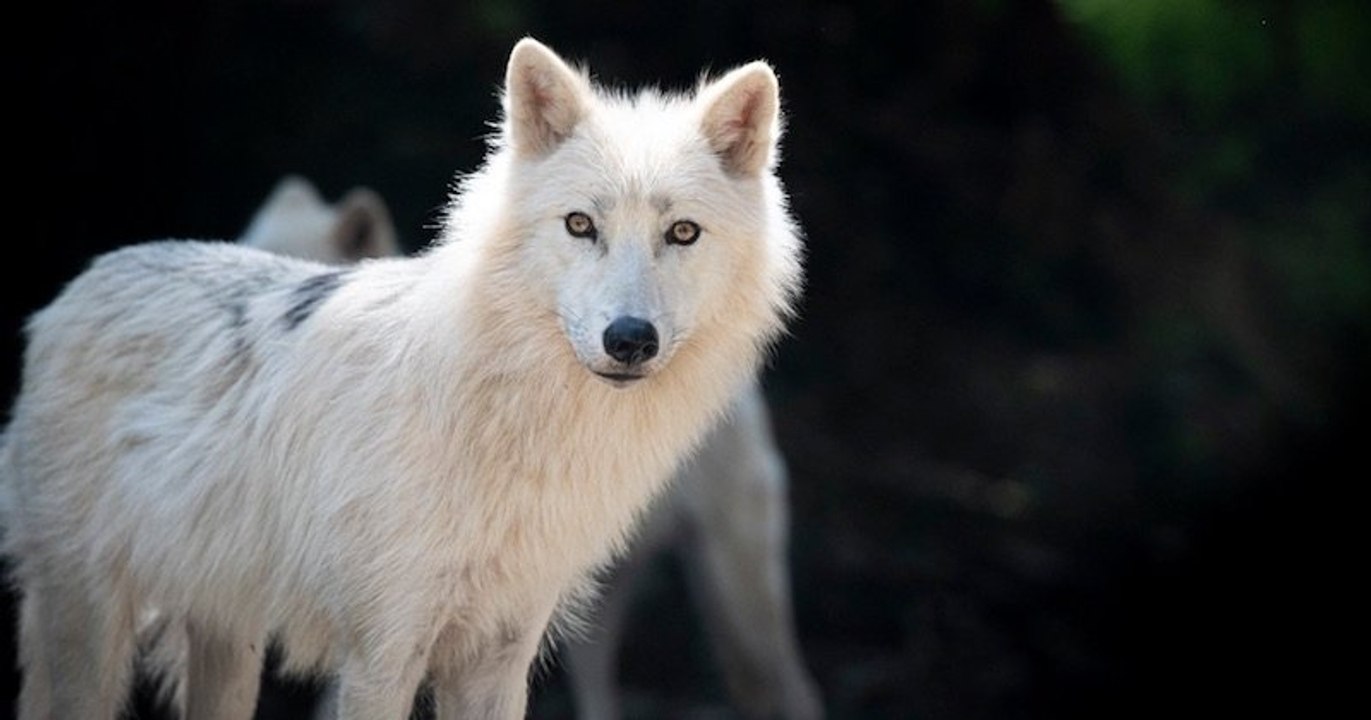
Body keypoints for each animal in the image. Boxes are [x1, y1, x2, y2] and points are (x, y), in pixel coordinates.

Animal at [0, 37, 802, 720]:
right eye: (580, 225)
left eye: (683, 233)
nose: (629, 339)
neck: (512, 423)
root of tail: (84, 282)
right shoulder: (381, 653)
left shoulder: (499, 657)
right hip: (91, 637)